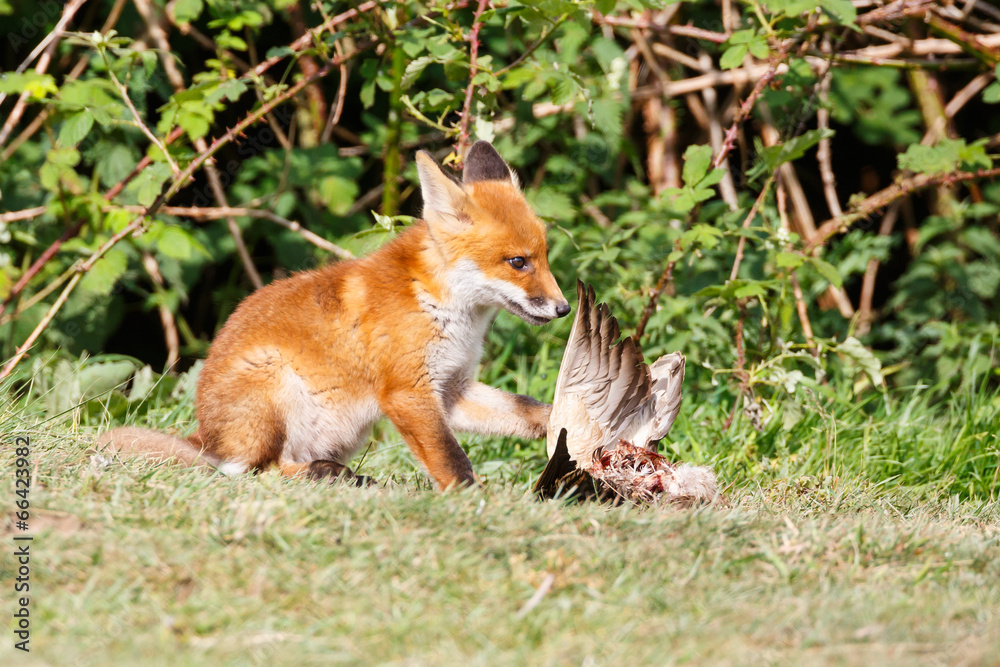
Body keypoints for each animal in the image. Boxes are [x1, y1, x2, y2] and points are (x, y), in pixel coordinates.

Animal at [98, 141, 571, 489]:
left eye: (545, 257)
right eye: (517, 262)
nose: (564, 308)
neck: (442, 307)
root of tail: (204, 438)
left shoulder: (451, 388)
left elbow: (525, 410)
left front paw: (563, 423)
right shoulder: (407, 392)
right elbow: (452, 461)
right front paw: (474, 501)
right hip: (275, 382)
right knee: (255, 471)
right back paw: (330, 475)